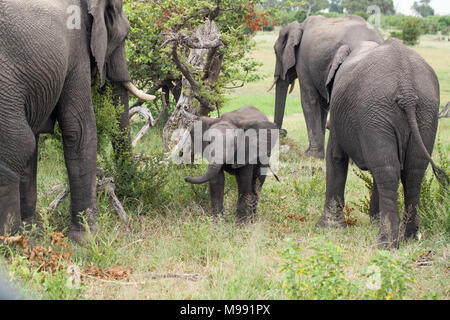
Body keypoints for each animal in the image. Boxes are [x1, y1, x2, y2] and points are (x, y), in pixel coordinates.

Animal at [0, 0, 155, 242]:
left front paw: (31, 233)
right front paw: (87, 239)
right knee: (19, 143)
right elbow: (80, 129)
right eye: (125, 37)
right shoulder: (76, 52)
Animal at [268, 15, 384, 158]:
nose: (283, 132)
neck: (300, 25)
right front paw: (317, 154)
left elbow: (309, 100)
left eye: (275, 51)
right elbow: (322, 104)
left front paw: (310, 155)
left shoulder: (303, 62)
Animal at [316, 38, 450, 250]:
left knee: (387, 170)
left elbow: (336, 157)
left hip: (377, 109)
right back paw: (409, 237)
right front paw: (374, 221)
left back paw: (386, 243)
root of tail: (406, 86)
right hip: (423, 111)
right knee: (411, 170)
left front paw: (326, 228)